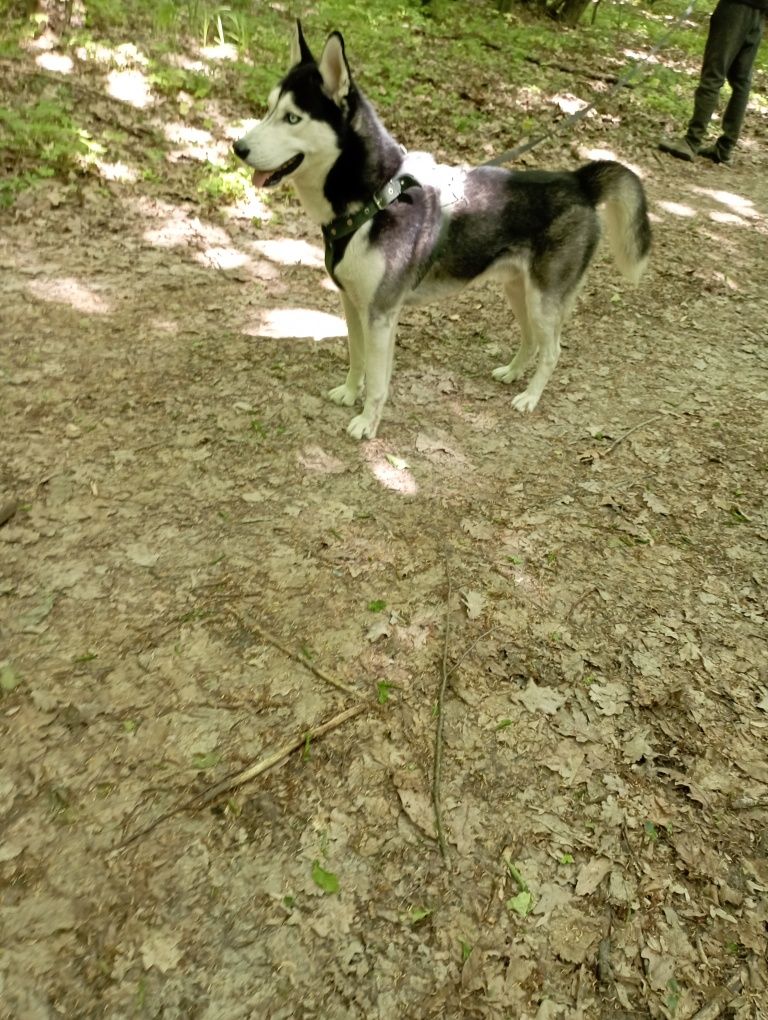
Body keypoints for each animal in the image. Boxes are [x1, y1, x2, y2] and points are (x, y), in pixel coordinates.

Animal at [232, 22, 648, 438]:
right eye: (269, 109)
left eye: (292, 118)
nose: (238, 147)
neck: (373, 199)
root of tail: (578, 181)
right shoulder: (352, 303)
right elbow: (357, 357)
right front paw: (350, 393)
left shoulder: (381, 314)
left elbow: (378, 379)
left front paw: (367, 422)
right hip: (518, 290)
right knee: (530, 339)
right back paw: (512, 373)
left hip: (543, 299)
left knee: (552, 350)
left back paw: (530, 396)